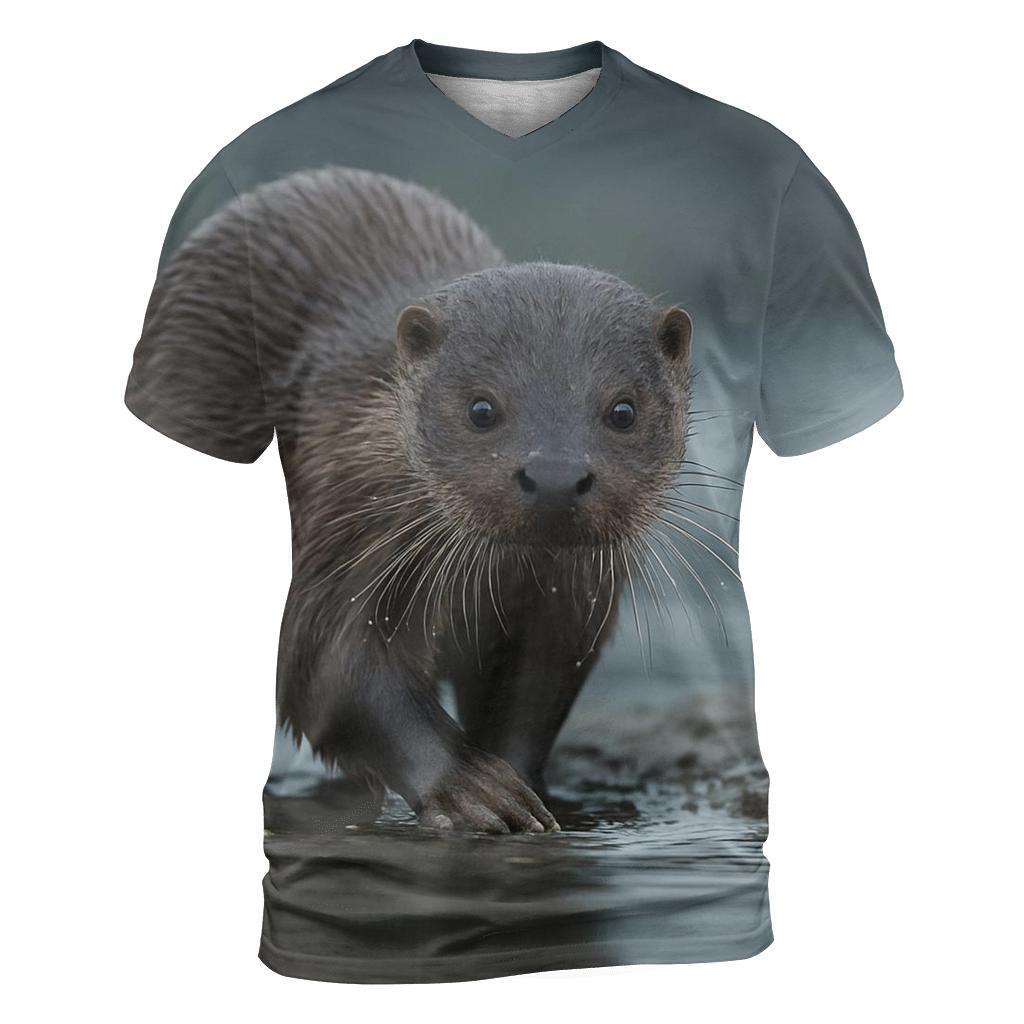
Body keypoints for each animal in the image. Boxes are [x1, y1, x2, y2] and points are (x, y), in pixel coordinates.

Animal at [135, 166, 692, 833]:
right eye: (481, 408)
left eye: (623, 411)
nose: (555, 474)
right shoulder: (347, 535)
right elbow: (333, 670)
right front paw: (474, 788)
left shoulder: (565, 607)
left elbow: (533, 692)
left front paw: (522, 788)